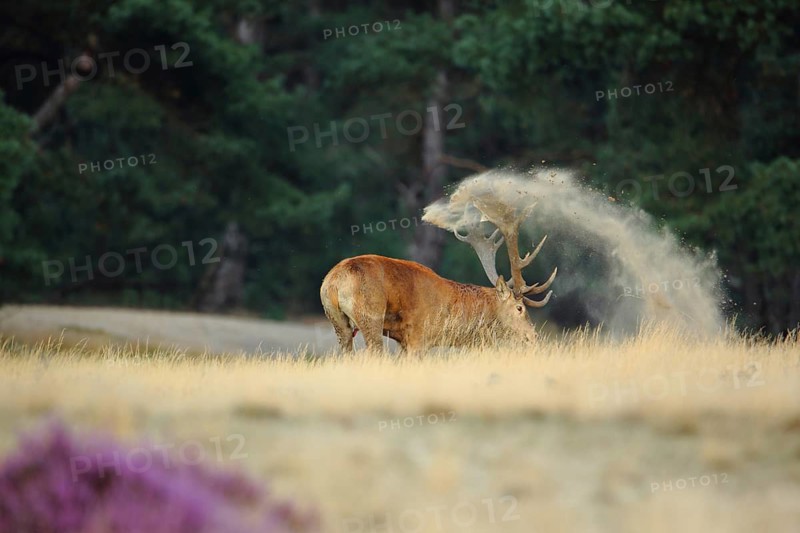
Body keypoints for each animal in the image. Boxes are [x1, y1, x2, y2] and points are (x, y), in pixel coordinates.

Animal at [319, 198, 557, 353]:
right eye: (519, 308)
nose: (533, 337)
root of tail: (333, 283)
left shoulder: (405, 342)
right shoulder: (418, 337)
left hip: (337, 321)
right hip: (370, 314)